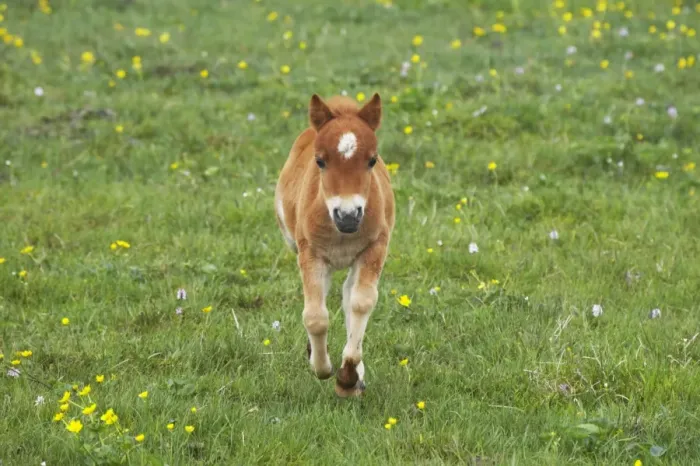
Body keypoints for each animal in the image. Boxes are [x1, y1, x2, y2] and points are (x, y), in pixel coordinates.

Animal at [274, 93, 395, 397]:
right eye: (320, 161)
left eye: (372, 160)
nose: (349, 215)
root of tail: (340, 103)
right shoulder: (310, 253)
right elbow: (315, 315)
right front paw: (322, 368)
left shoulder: (374, 248)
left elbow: (361, 303)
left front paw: (348, 377)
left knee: (349, 293)